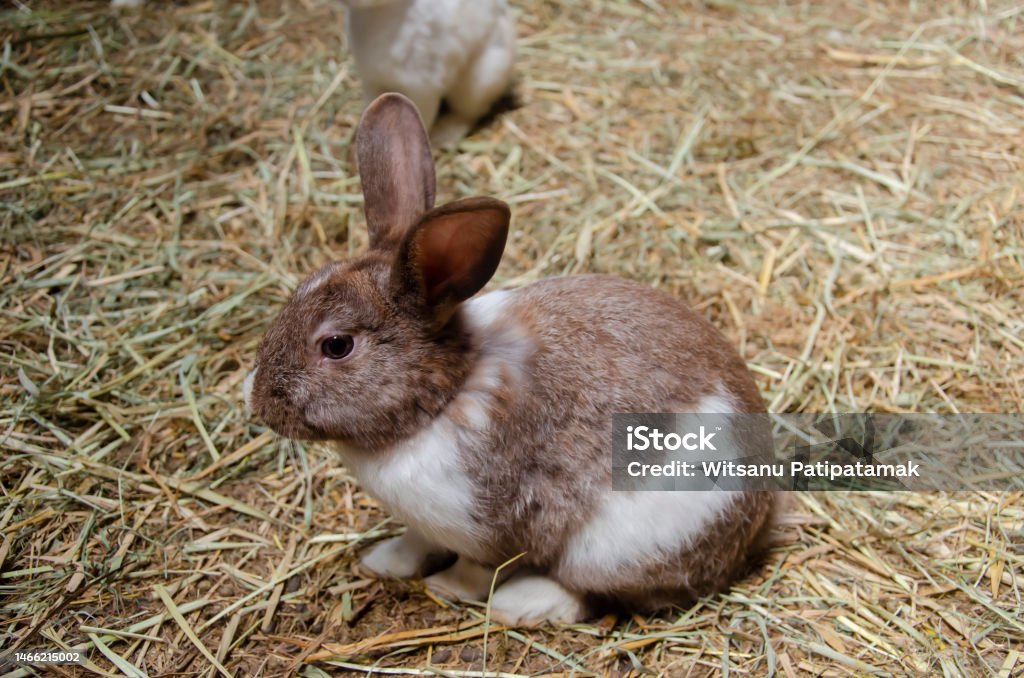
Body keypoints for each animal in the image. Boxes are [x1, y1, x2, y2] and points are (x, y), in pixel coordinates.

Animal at [244, 93, 779, 626]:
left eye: (336, 345)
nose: (256, 398)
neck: (445, 396)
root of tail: (752, 526)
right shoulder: (426, 524)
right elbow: (415, 543)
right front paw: (382, 562)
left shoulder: (490, 526)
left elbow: (478, 569)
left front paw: (445, 587)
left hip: (618, 546)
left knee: (590, 593)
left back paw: (520, 604)